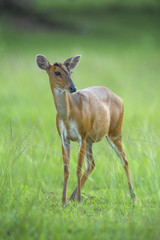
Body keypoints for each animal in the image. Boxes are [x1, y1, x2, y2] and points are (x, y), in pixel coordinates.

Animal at [36, 54, 136, 204]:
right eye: (57, 72)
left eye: (70, 71)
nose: (72, 88)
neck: (68, 115)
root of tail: (120, 99)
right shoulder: (64, 138)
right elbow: (66, 169)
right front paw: (63, 201)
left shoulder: (81, 136)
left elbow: (78, 168)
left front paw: (78, 201)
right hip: (90, 139)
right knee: (92, 164)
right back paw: (72, 198)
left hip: (115, 131)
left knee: (124, 159)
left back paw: (133, 197)